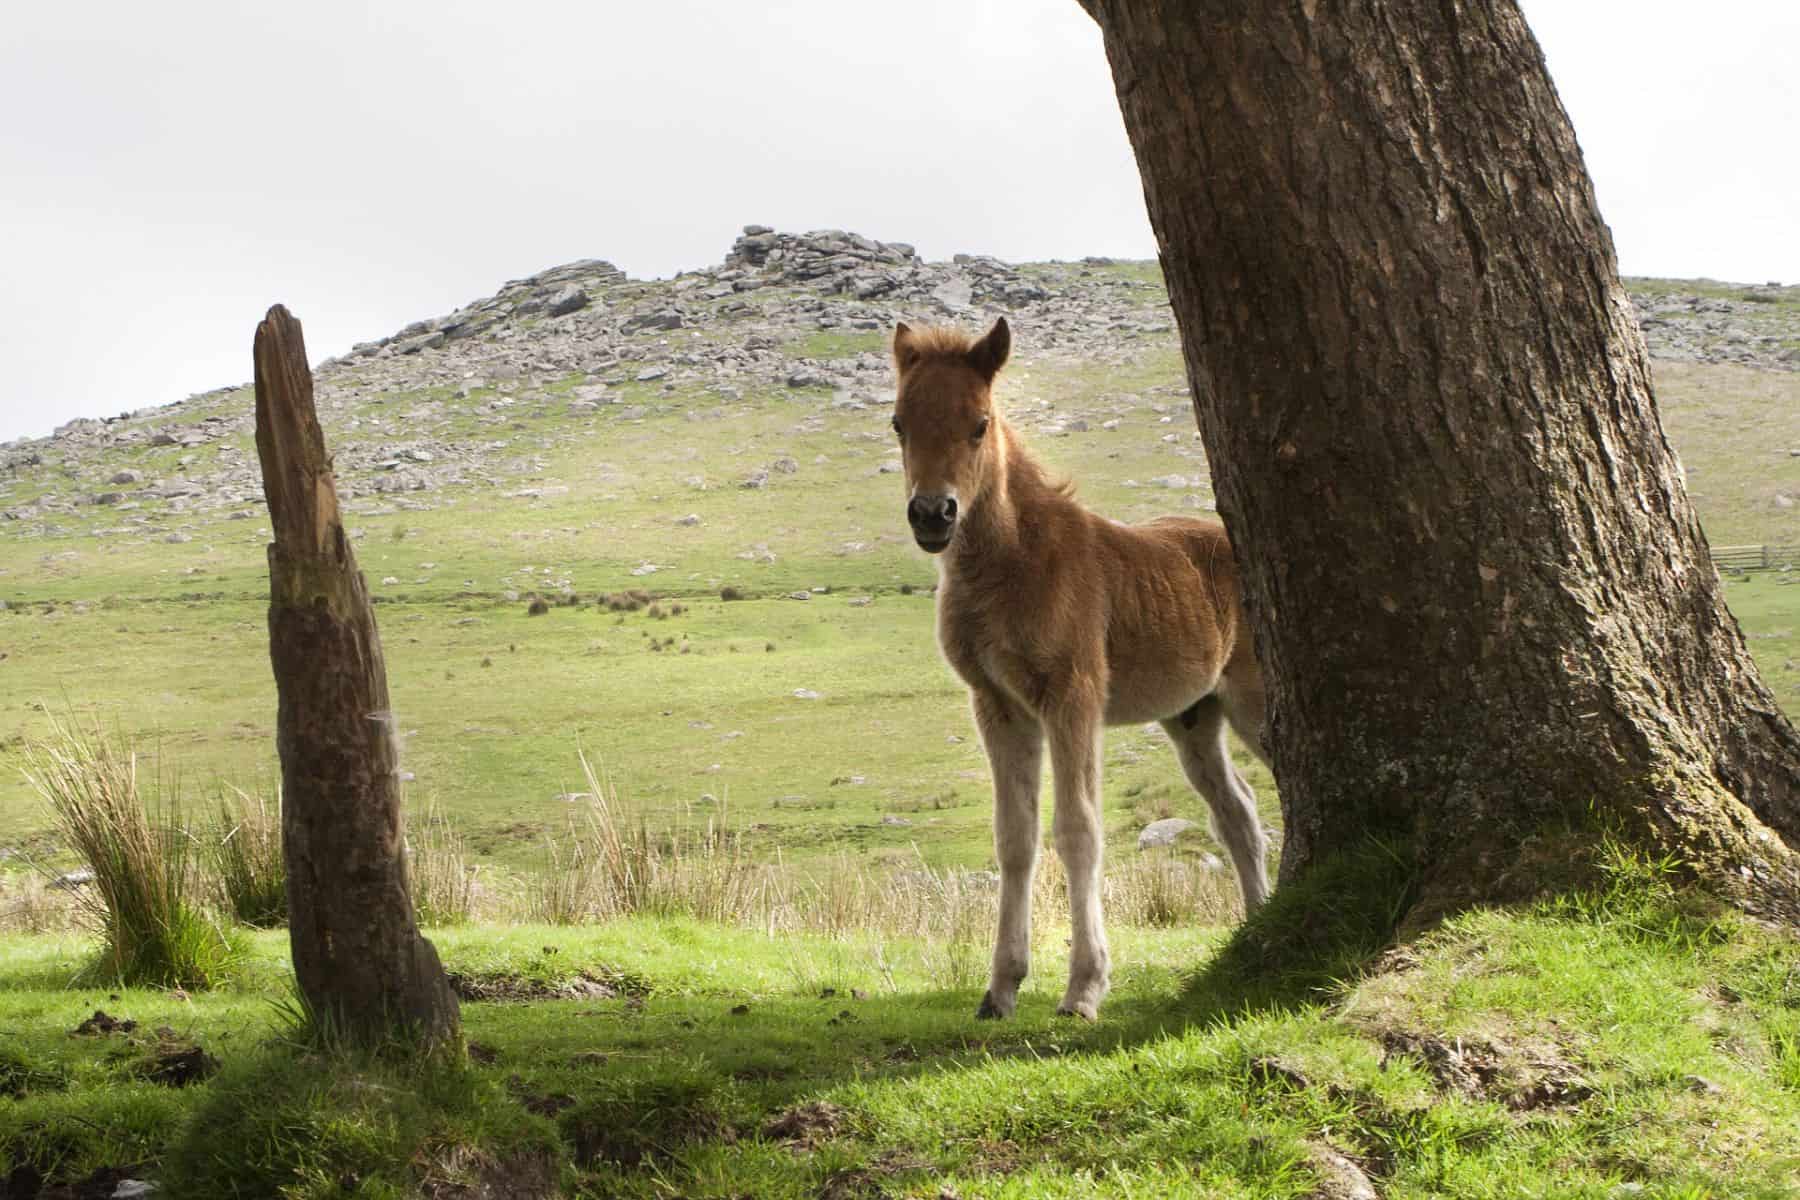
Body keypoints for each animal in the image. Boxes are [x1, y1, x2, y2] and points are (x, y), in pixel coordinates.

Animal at [891, 316, 1271, 1020]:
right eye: (898, 422)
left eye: (979, 424)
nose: (932, 514)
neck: (1014, 563)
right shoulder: (998, 704)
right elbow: (1015, 837)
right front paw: (1001, 988)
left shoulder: (1073, 695)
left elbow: (1078, 829)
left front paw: (1084, 987)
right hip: (1193, 718)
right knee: (1239, 811)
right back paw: (1260, 924)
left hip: (1255, 704)